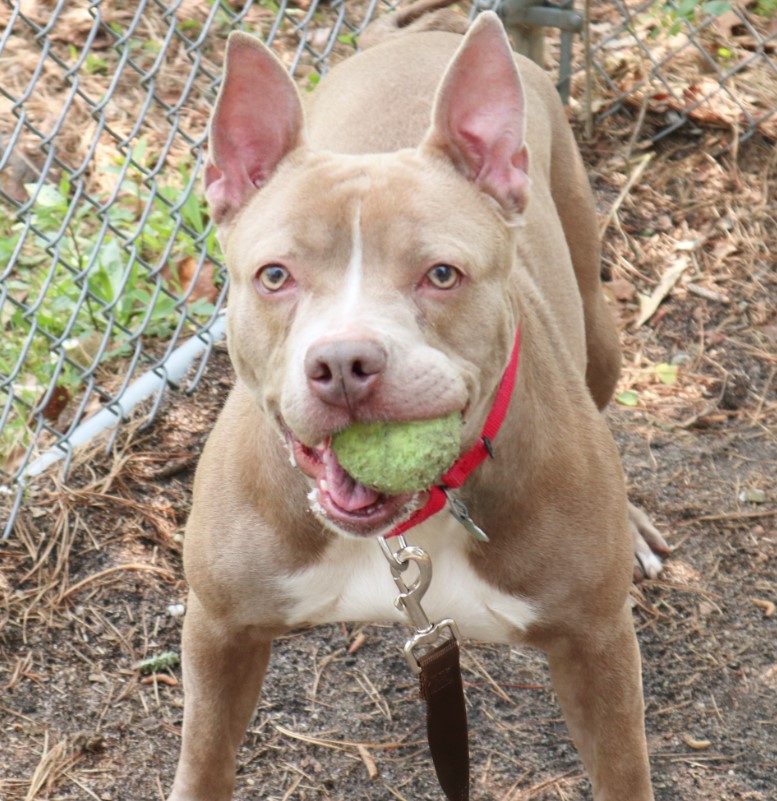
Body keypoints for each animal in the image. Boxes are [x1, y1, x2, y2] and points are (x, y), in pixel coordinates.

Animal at [165, 7, 660, 800]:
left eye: (441, 274)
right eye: (274, 275)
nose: (343, 364)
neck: (409, 527)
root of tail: (425, 36)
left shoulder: (596, 646)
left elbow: (624, 771)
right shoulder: (219, 631)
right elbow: (203, 762)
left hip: (599, 324)